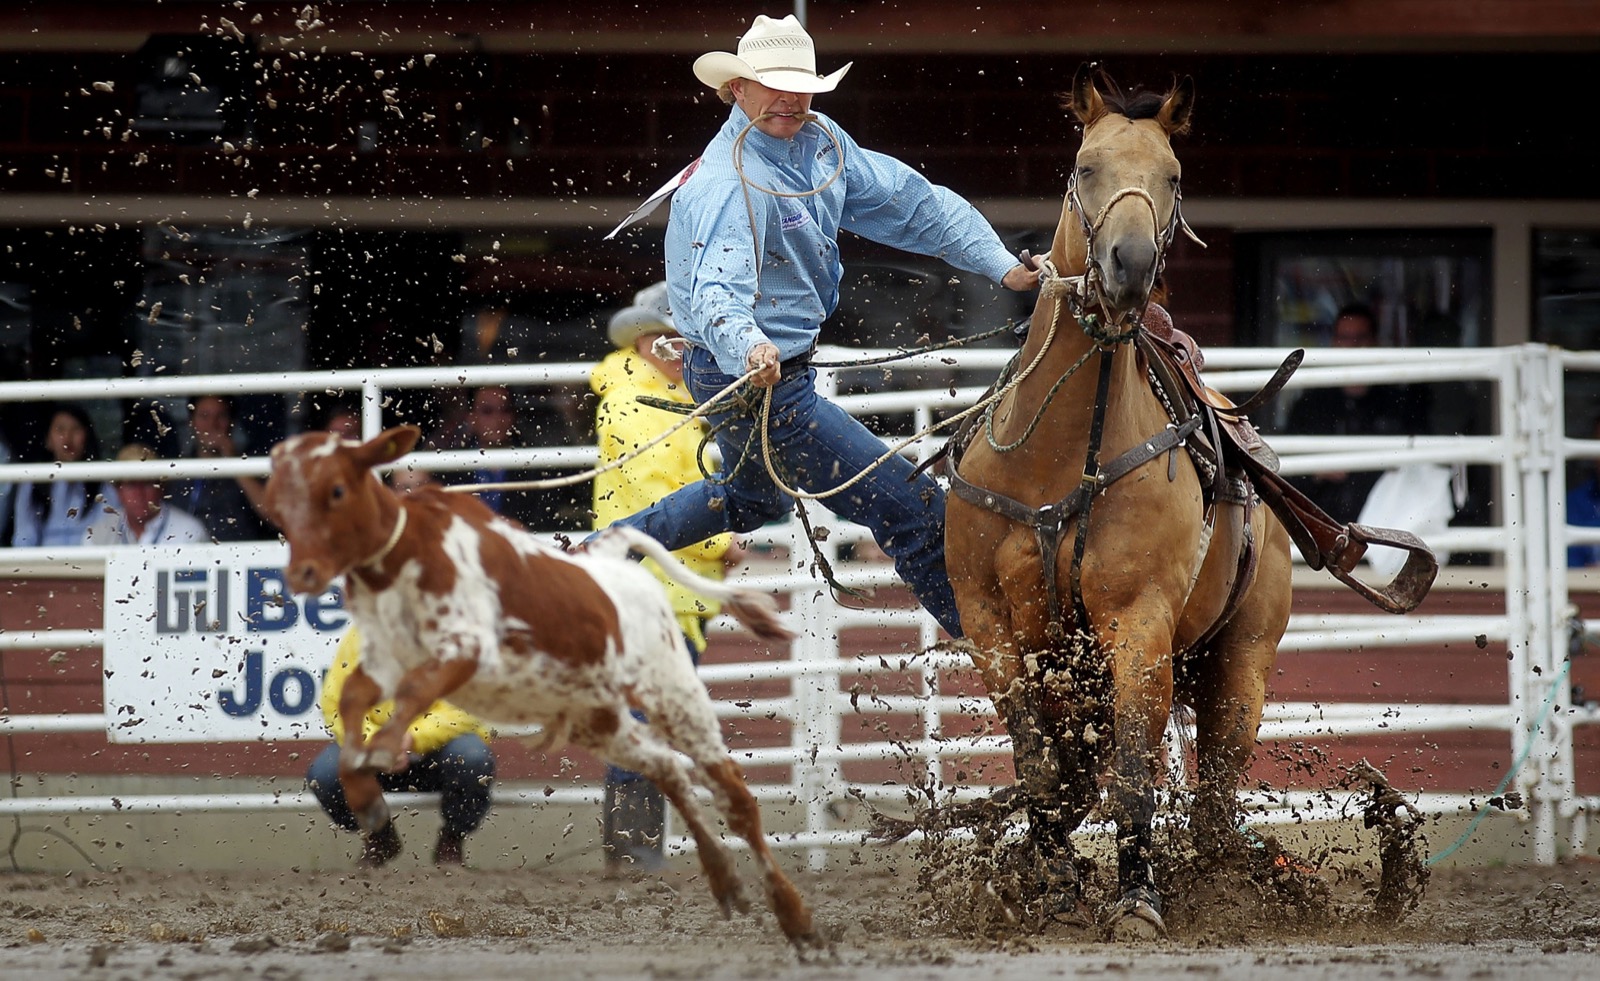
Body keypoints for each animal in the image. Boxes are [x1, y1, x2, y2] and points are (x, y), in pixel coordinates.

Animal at [265, 425, 812, 947]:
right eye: (274, 502)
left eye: (336, 489)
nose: (302, 573)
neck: (409, 553)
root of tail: (610, 563)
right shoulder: (383, 662)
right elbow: (354, 698)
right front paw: (367, 792)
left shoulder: (465, 649)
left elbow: (415, 695)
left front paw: (385, 749)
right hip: (599, 718)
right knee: (669, 771)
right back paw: (726, 881)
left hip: (671, 689)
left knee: (734, 797)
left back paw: (794, 916)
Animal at [940, 65, 1433, 934]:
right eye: (1085, 166)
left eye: (1172, 176)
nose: (1129, 263)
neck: (1059, 458)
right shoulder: (989, 621)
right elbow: (1043, 772)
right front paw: (1048, 879)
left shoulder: (1138, 624)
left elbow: (1134, 775)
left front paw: (1135, 895)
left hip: (1239, 663)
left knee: (1211, 812)